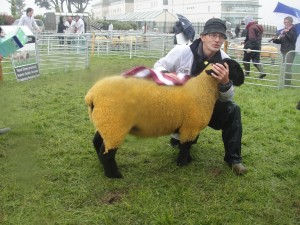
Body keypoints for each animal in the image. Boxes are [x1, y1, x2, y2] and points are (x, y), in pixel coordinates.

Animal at [84, 59, 244, 178]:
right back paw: (114, 175)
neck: (203, 88)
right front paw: (182, 163)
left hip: (105, 122)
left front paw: (188, 160)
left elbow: (186, 145)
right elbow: (185, 146)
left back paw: (103, 166)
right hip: (114, 125)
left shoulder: (189, 128)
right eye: (234, 67)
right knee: (107, 152)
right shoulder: (190, 127)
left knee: (97, 142)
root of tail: (91, 95)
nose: (242, 80)